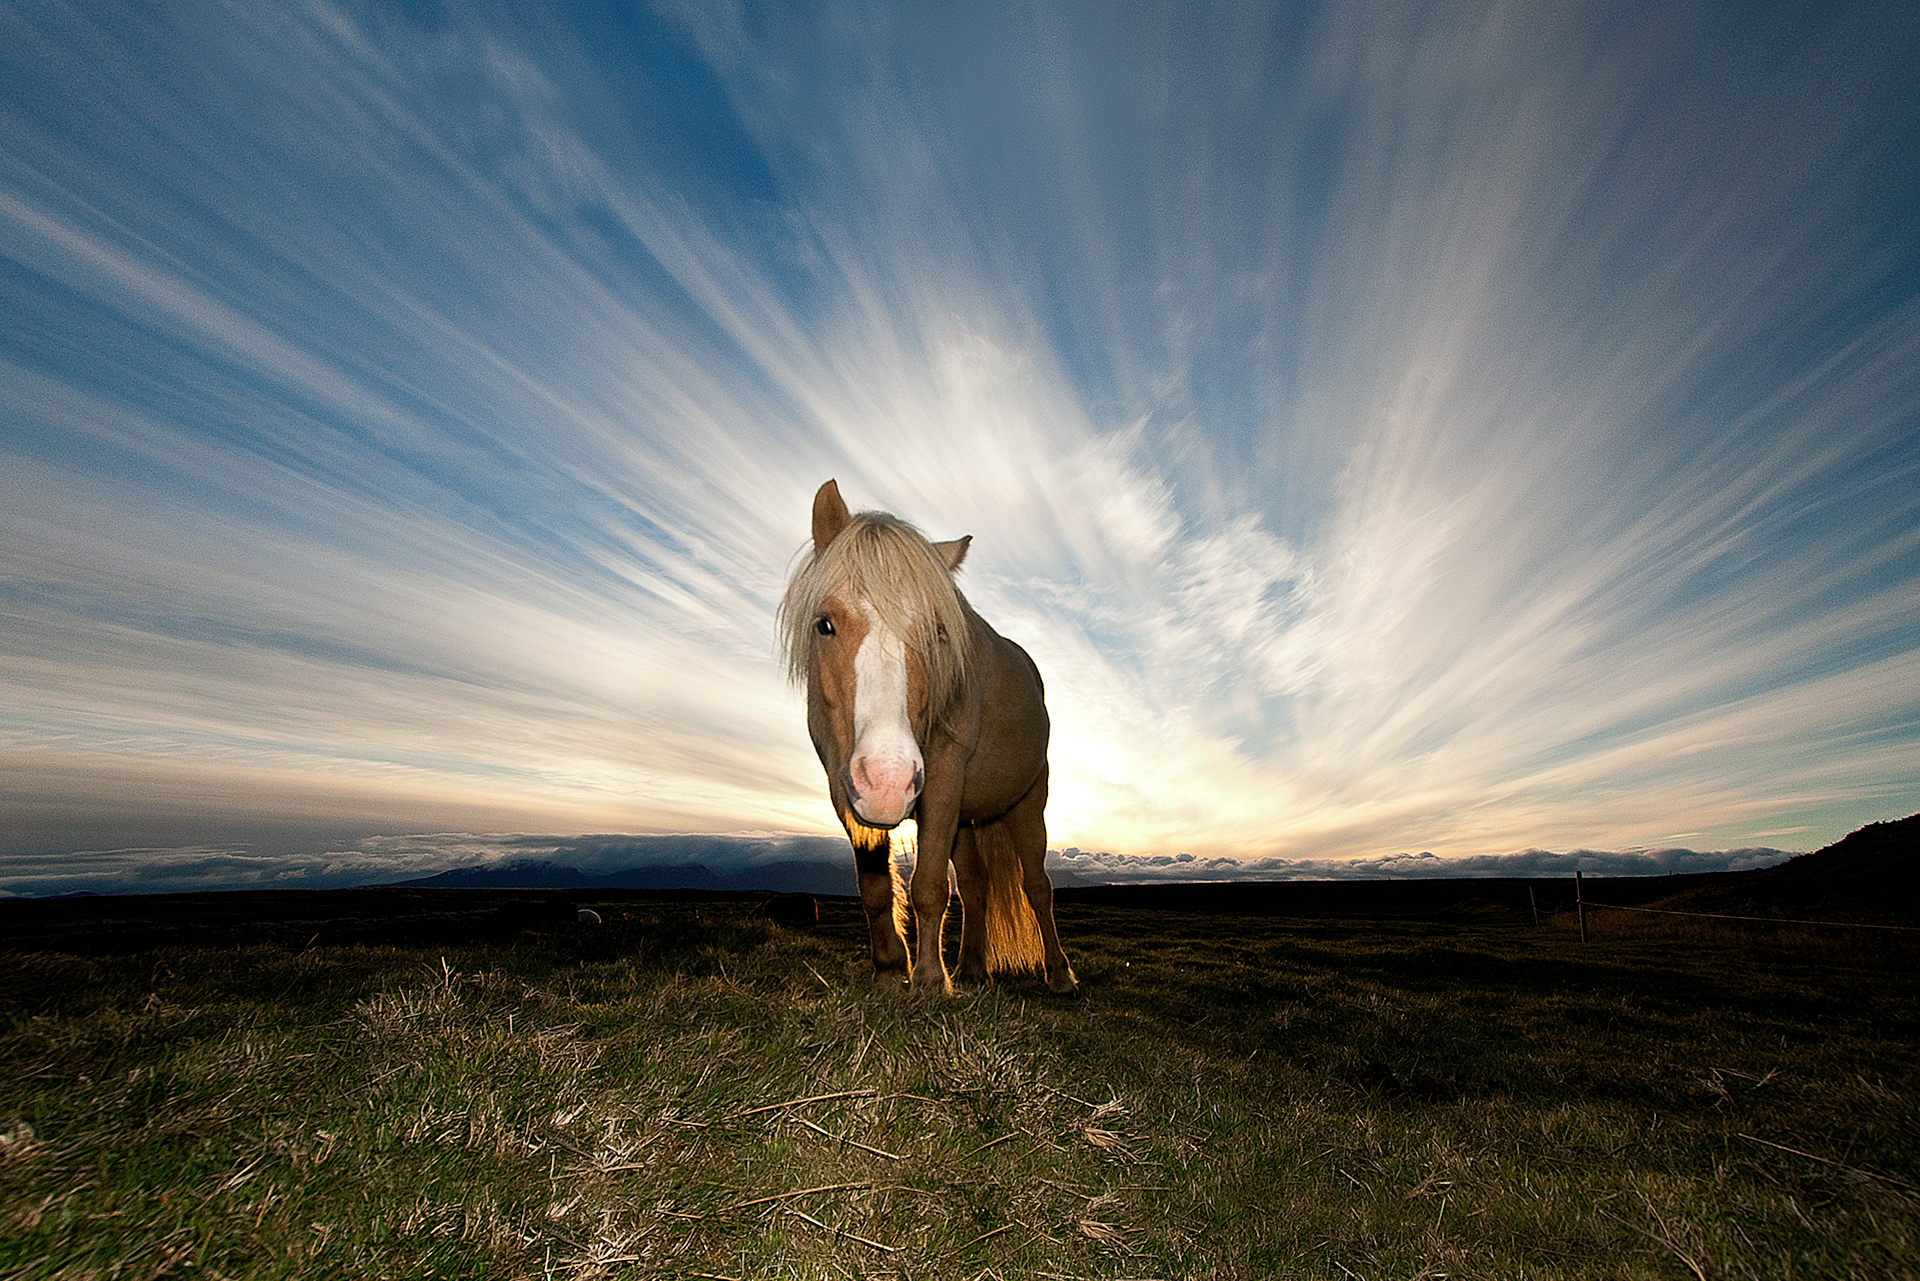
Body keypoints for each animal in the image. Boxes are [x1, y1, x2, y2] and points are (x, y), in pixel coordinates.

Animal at [779, 480, 1077, 995]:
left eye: (938, 633)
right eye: (824, 624)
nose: (888, 782)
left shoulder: (941, 780)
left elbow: (929, 886)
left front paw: (929, 981)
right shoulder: (845, 790)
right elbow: (876, 889)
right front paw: (888, 971)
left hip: (1024, 804)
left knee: (1038, 887)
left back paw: (1058, 975)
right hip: (965, 817)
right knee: (977, 885)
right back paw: (972, 968)